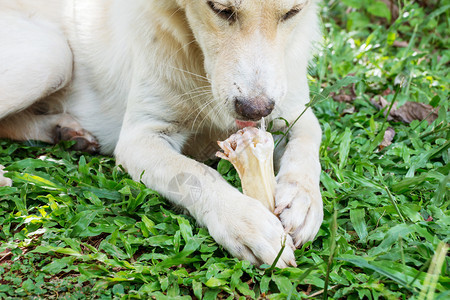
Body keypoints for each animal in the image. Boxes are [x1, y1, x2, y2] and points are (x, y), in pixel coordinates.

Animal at [0, 0, 324, 268]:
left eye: (292, 12)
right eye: (221, 10)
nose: (254, 110)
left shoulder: (294, 110)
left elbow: (309, 141)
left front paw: (303, 201)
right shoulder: (140, 137)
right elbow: (196, 174)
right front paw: (244, 220)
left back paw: (64, 130)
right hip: (52, 54)